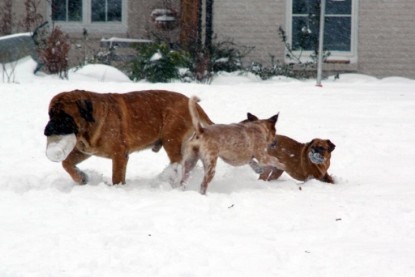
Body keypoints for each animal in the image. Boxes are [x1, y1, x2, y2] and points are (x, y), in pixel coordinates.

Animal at [44, 89, 214, 183]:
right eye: (50, 114)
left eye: (65, 117)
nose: (47, 130)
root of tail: (191, 102)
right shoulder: (84, 150)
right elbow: (66, 163)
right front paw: (81, 178)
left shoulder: (119, 155)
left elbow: (117, 177)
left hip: (171, 139)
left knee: (178, 164)